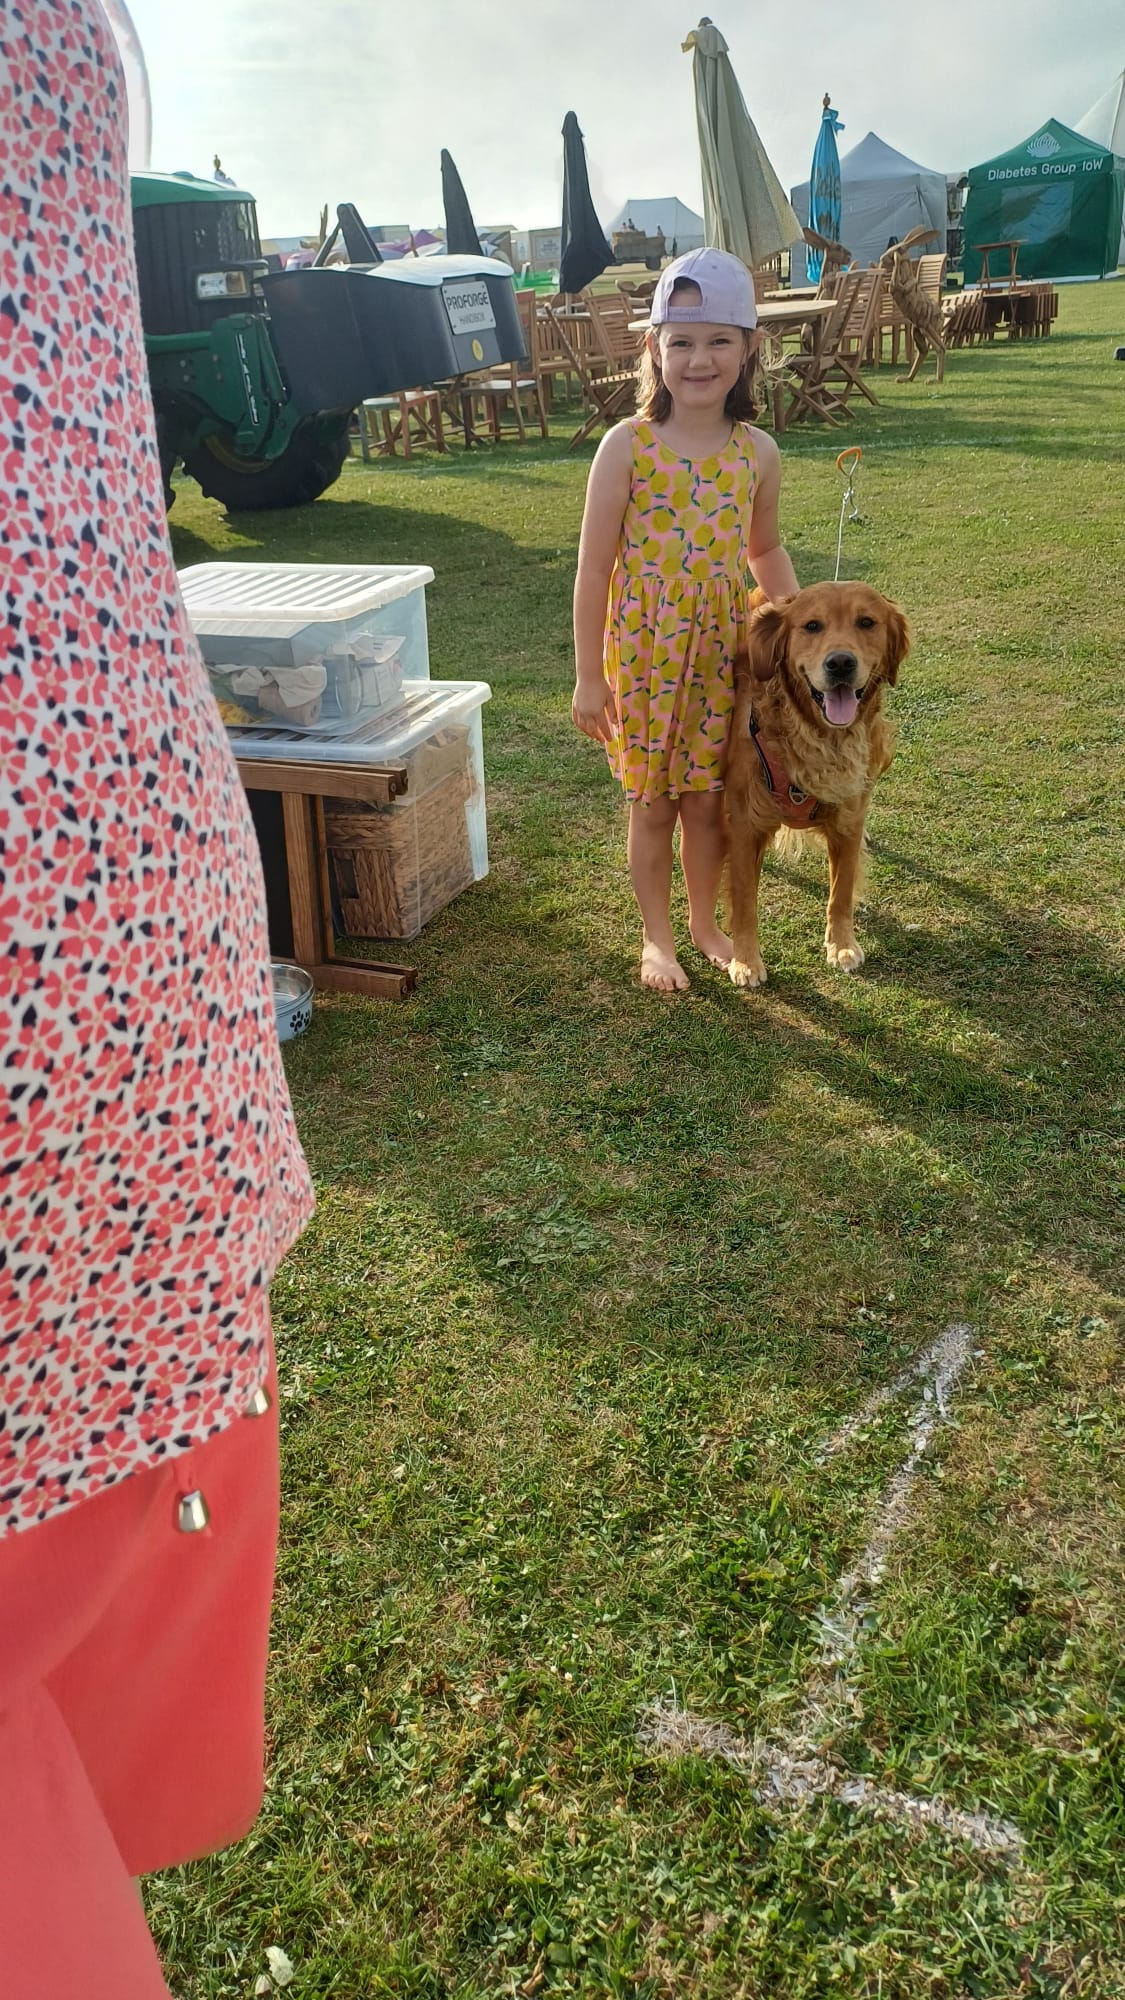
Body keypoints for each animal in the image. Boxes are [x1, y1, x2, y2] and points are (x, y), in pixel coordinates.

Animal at [723, 581, 909, 988]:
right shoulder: (746, 824)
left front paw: (842, 945)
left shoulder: (848, 822)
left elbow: (841, 892)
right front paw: (745, 960)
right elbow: (744, 899)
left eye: (866, 622)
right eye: (811, 626)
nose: (840, 663)